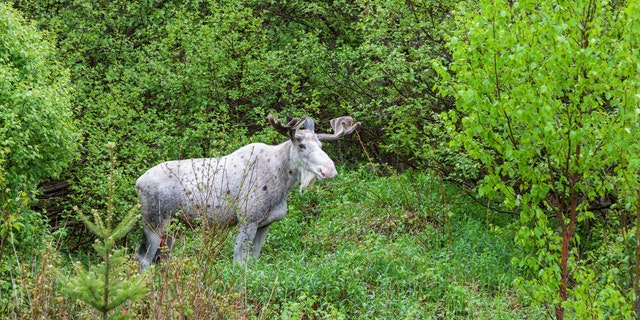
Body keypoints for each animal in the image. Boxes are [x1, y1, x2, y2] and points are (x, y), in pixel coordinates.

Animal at [136, 114, 360, 268]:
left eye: (321, 144)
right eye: (302, 145)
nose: (329, 169)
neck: (283, 182)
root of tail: (137, 183)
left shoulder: (265, 224)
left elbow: (254, 260)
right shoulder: (247, 220)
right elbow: (239, 262)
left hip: (173, 228)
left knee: (163, 259)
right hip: (154, 222)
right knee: (143, 258)